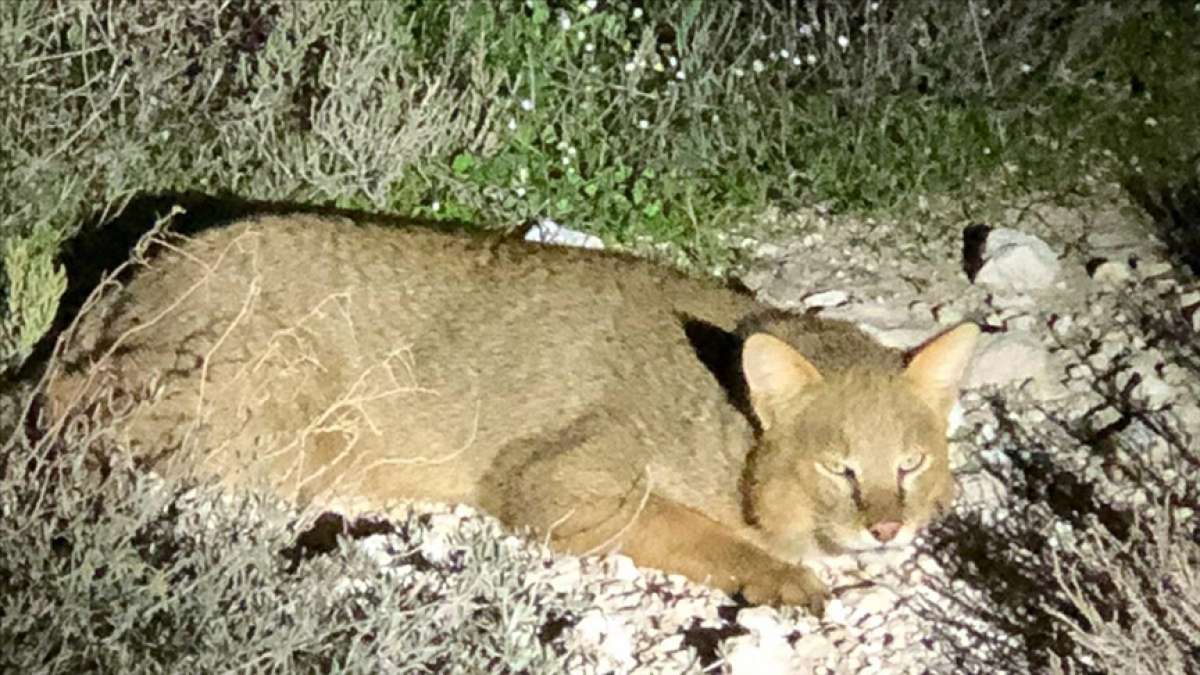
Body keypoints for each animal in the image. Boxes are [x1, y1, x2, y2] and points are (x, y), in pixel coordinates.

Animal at [46, 212, 979, 612]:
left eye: (911, 462)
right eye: (839, 466)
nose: (887, 526)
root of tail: (132, 275)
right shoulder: (558, 483)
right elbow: (697, 531)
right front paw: (780, 573)